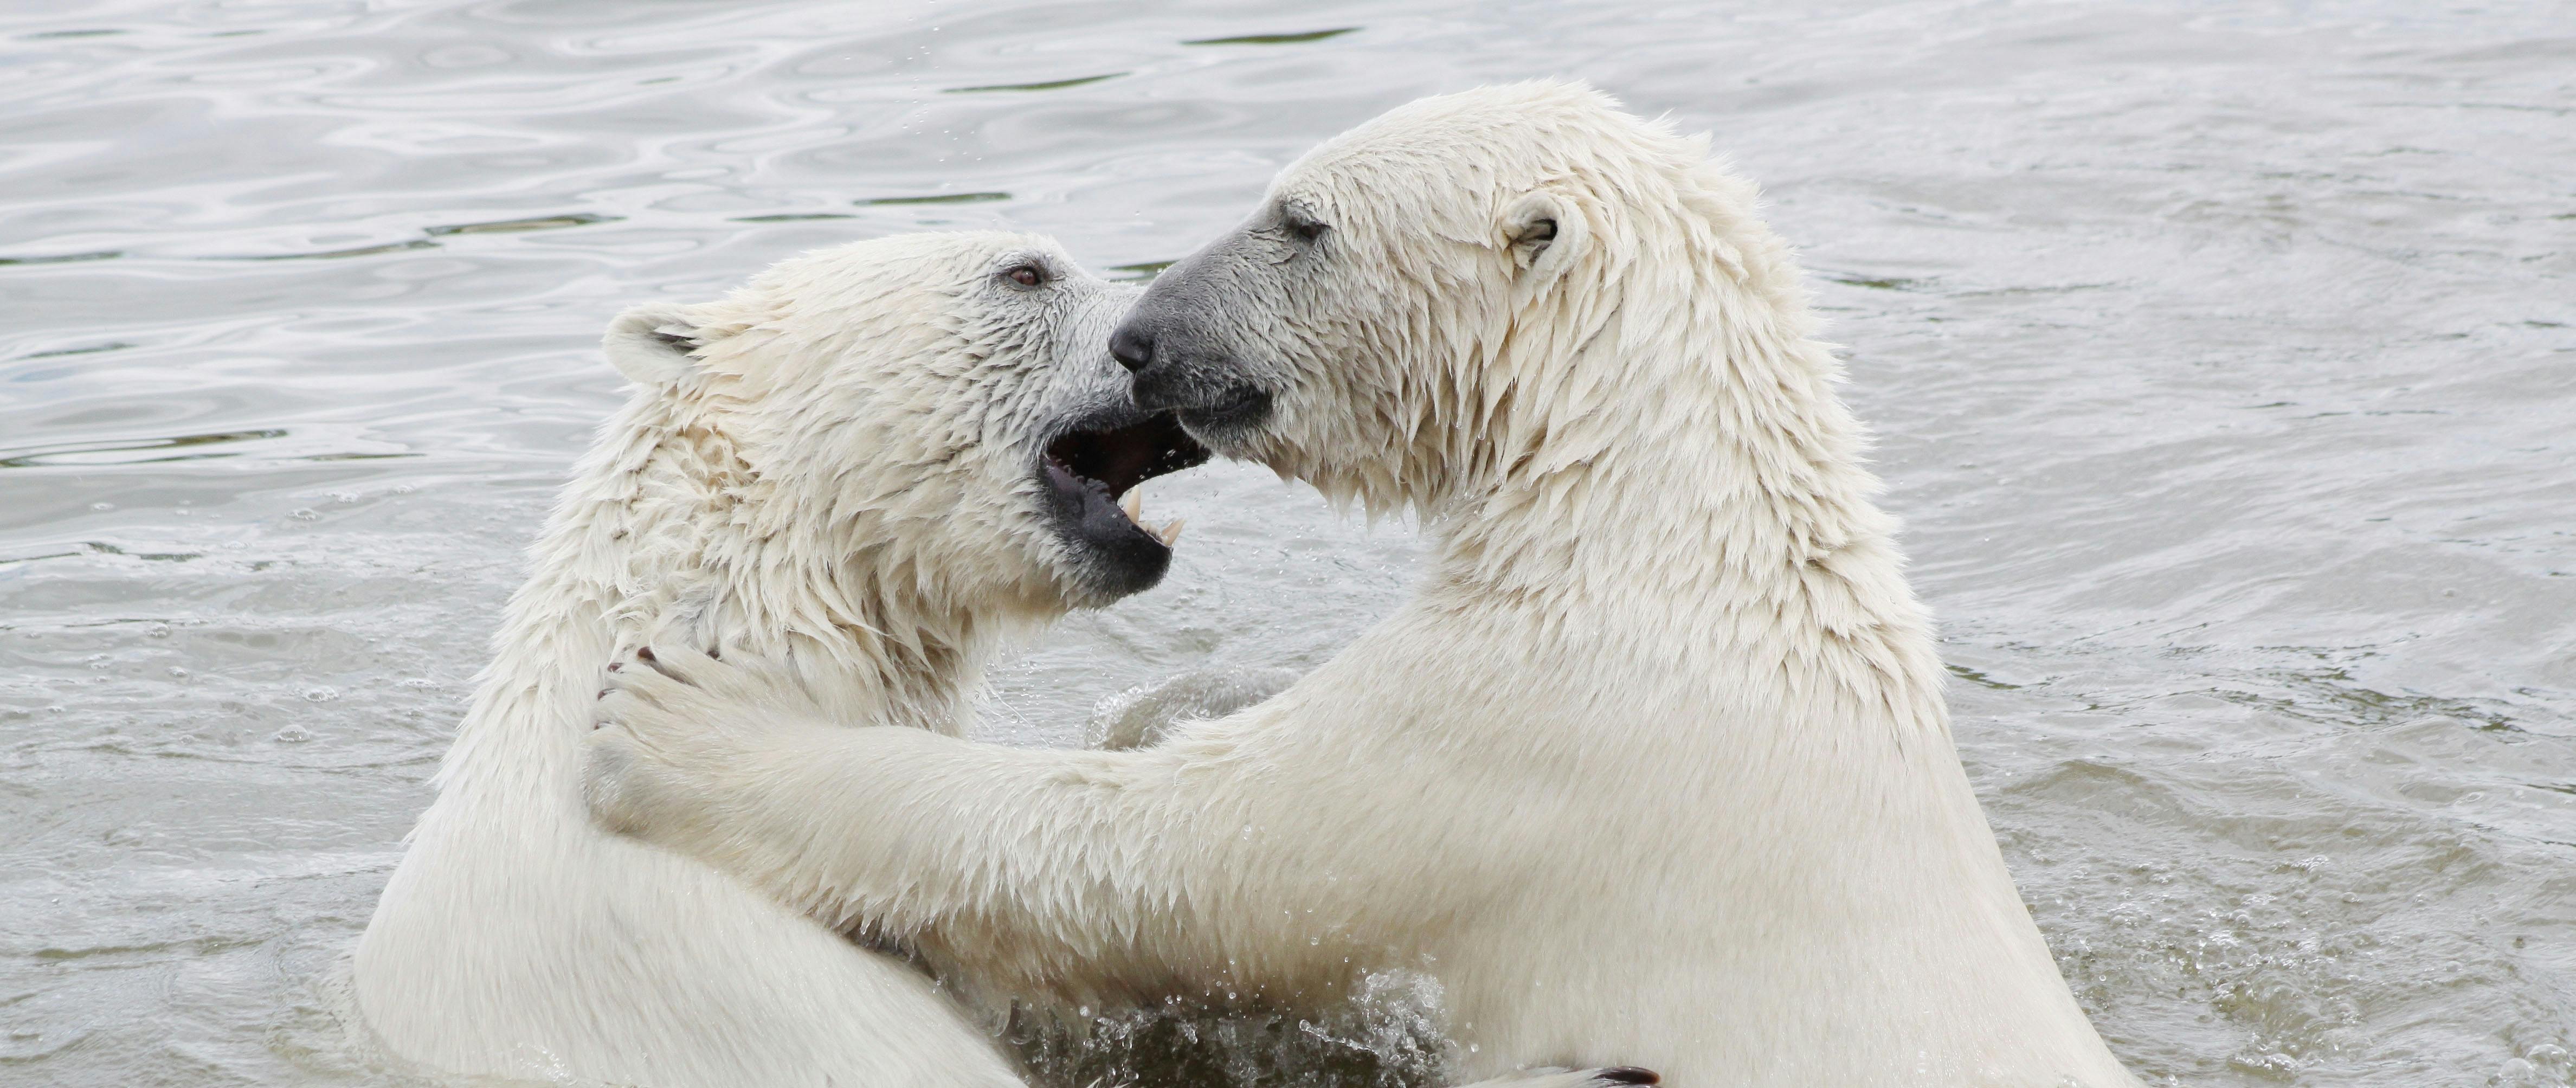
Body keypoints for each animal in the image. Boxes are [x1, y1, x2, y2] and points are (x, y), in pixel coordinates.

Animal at [579, 85, 2133, 1088]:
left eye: (1300, 220)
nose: (1144, 338)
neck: (1667, 532)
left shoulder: (1519, 750)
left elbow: (1145, 857)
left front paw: (681, 725)